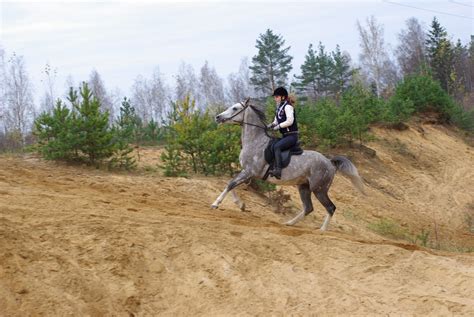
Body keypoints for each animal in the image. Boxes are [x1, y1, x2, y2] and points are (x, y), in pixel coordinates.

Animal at [213, 98, 364, 230]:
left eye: (235, 108)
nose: (218, 117)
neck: (255, 141)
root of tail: (330, 162)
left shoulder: (249, 172)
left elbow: (230, 184)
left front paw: (216, 204)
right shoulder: (248, 173)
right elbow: (231, 183)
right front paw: (241, 205)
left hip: (319, 189)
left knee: (330, 207)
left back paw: (322, 230)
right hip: (304, 187)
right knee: (309, 208)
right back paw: (289, 223)